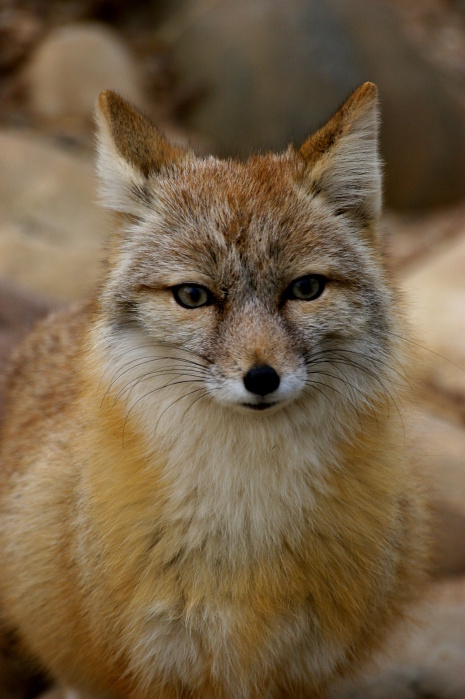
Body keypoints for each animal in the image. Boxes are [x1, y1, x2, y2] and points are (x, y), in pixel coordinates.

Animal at [0, 83, 428, 699]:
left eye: (306, 289)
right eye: (193, 296)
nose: (261, 377)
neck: (248, 519)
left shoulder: (301, 667)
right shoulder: (156, 663)